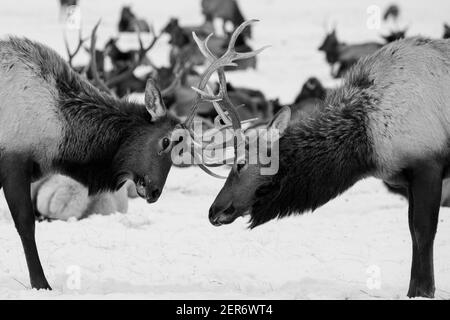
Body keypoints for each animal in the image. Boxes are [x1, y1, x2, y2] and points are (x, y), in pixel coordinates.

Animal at [208, 35, 450, 300]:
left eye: (240, 163)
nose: (213, 210)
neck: (365, 144)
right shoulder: (408, 178)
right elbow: (412, 232)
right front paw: (414, 290)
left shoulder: (428, 165)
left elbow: (423, 231)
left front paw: (424, 290)